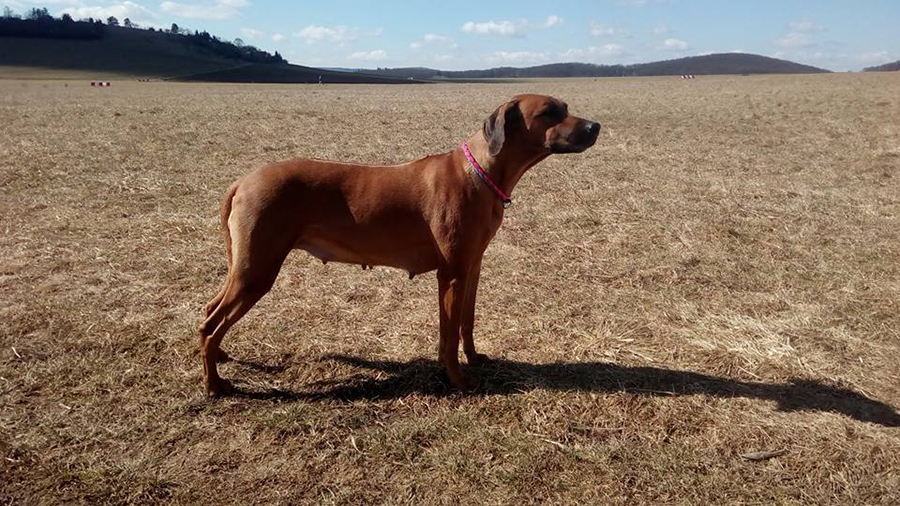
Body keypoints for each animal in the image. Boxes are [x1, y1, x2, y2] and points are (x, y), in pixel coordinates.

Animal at [200, 94, 600, 396]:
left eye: (566, 107)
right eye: (549, 112)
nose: (595, 126)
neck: (481, 172)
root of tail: (242, 181)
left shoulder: (472, 266)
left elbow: (467, 323)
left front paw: (474, 358)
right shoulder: (451, 274)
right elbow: (448, 335)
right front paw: (457, 379)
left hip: (246, 266)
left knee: (208, 311)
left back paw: (220, 358)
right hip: (257, 271)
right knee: (210, 326)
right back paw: (215, 385)